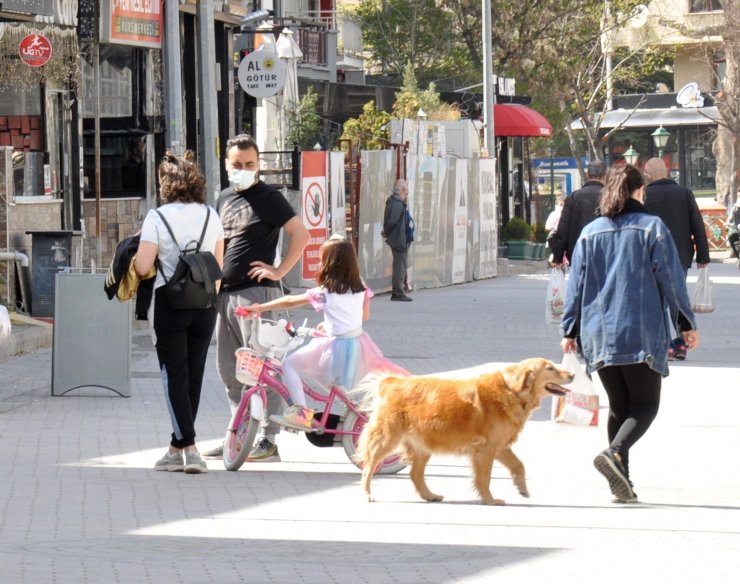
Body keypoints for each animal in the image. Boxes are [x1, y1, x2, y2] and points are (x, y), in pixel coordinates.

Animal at [356, 358, 572, 504]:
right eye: (550, 368)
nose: (572, 375)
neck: (512, 392)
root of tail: (391, 382)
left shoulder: (500, 446)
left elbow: (519, 465)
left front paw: (522, 488)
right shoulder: (486, 449)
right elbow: (484, 478)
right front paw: (490, 500)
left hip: (423, 445)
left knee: (415, 474)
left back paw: (430, 495)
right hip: (386, 439)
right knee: (368, 467)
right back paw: (367, 494)